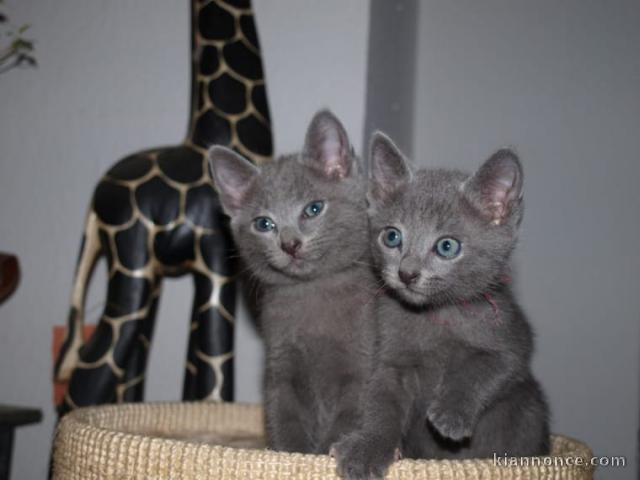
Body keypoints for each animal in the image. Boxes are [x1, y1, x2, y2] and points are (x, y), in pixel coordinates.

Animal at [208, 109, 378, 454]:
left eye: (313, 209)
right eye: (264, 224)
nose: (289, 244)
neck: (313, 291)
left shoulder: (362, 366)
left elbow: (349, 416)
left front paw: (322, 453)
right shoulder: (280, 368)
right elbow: (283, 418)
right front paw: (291, 455)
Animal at [332, 133, 548, 478]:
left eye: (447, 246)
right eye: (392, 237)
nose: (407, 273)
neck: (436, 315)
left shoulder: (513, 338)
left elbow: (489, 366)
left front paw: (450, 413)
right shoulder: (392, 359)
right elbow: (381, 401)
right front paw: (368, 449)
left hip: (529, 407)